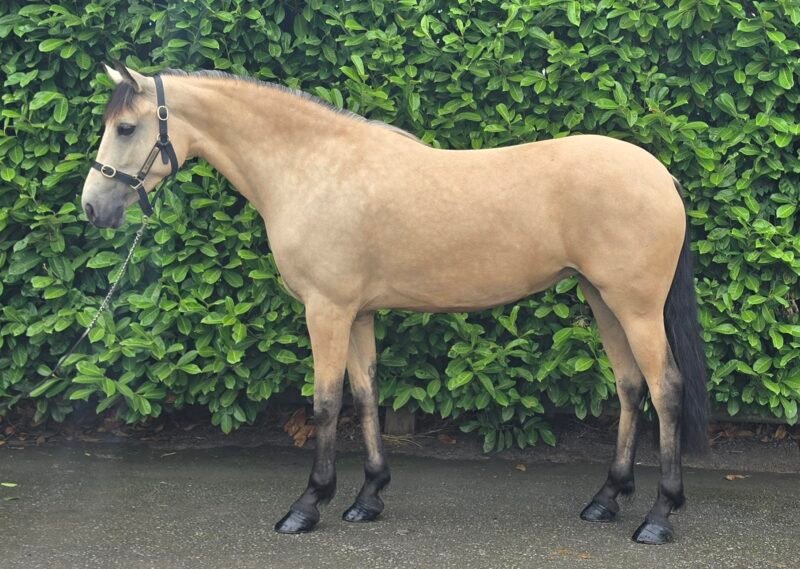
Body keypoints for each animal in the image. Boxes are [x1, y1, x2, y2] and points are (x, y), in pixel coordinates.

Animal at [80, 63, 709, 545]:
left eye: (127, 127)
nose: (91, 208)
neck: (313, 167)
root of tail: (661, 175)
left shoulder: (327, 310)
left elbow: (326, 403)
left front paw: (308, 506)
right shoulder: (356, 313)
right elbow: (364, 395)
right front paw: (368, 498)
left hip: (635, 307)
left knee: (665, 389)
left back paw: (658, 517)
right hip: (602, 301)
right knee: (630, 387)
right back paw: (606, 499)